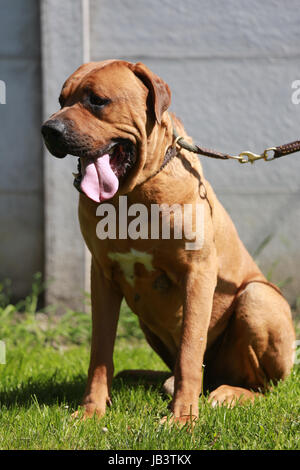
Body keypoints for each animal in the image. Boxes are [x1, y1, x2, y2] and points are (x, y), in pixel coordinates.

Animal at [41, 58, 296, 422]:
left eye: (97, 101)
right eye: (61, 100)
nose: (49, 130)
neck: (132, 195)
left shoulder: (197, 273)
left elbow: (190, 349)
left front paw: (182, 417)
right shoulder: (102, 275)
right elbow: (100, 351)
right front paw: (91, 410)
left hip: (259, 298)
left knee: (261, 386)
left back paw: (229, 394)